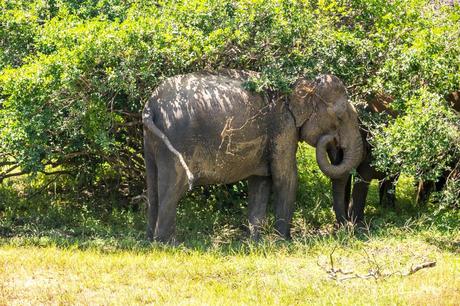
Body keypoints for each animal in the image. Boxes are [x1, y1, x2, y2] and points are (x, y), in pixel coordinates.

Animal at [142, 70, 364, 241]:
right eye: (339, 116)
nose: (346, 228)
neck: (298, 83)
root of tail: (150, 106)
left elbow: (261, 183)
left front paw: (255, 241)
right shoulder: (283, 128)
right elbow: (286, 178)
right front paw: (284, 241)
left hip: (152, 142)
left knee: (153, 187)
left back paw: (149, 240)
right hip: (178, 139)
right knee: (173, 189)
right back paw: (167, 244)